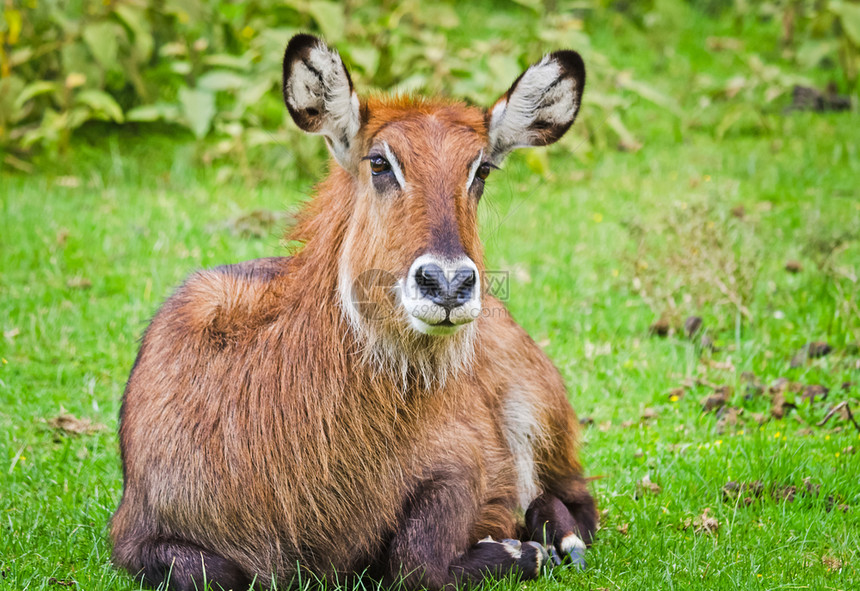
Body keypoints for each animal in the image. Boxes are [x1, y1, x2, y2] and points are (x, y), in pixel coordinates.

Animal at [111, 33, 596, 591]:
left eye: (482, 170)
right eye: (380, 163)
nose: (448, 284)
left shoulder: (464, 462)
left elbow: (416, 558)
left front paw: (519, 551)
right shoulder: (134, 530)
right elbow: (208, 571)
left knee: (578, 497)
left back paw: (558, 538)